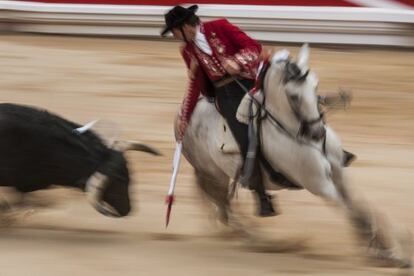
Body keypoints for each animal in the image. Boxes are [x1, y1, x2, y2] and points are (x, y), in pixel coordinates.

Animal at [176, 44, 412, 268]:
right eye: (293, 97)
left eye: (315, 86)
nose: (318, 133)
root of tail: (182, 118)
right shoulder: (320, 185)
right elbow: (354, 215)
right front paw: (386, 254)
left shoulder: (338, 173)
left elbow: (360, 209)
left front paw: (388, 250)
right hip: (214, 175)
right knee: (225, 206)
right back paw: (257, 240)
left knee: (223, 207)